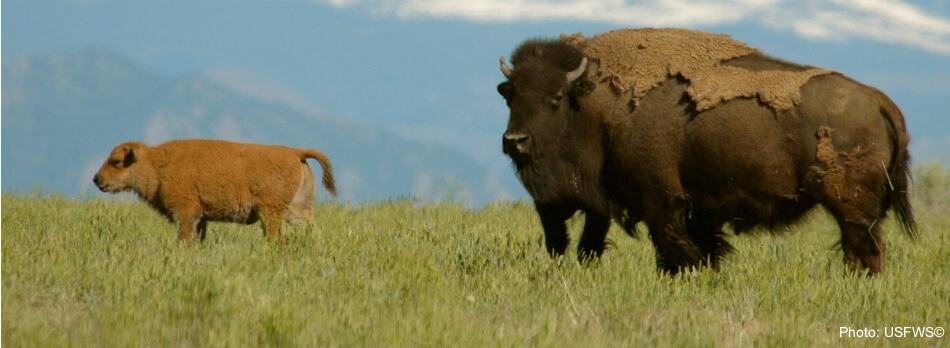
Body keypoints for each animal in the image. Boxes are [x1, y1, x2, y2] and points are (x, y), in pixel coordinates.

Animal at [94, 140, 338, 243]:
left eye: (116, 161)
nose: (97, 179)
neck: (157, 165)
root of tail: (297, 153)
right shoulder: (200, 219)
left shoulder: (186, 215)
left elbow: (185, 240)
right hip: (298, 210)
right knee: (312, 232)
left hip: (271, 213)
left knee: (278, 238)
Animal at [498, 28, 916, 276]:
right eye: (510, 95)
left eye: (555, 97)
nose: (514, 141)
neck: (593, 104)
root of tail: (878, 100)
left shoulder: (661, 202)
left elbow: (676, 249)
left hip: (851, 208)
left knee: (864, 249)